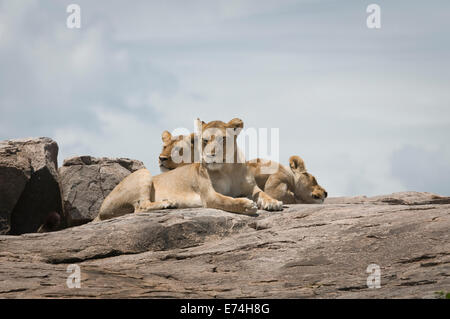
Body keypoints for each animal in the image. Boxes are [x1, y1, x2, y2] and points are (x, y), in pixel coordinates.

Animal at [94, 118, 282, 222]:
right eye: (205, 141)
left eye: (221, 139)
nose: (210, 155)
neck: (227, 168)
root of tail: (100, 210)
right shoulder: (209, 196)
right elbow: (227, 200)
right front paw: (246, 205)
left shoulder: (251, 187)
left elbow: (262, 193)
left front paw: (274, 202)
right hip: (143, 173)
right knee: (140, 207)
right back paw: (167, 203)